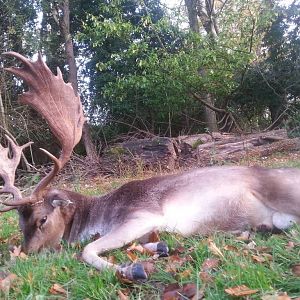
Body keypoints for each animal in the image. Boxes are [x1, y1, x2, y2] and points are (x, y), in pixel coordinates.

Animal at [0, 52, 300, 282]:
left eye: (42, 219)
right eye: (20, 223)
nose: (25, 256)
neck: (98, 215)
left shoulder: (141, 215)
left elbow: (85, 250)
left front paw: (130, 270)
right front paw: (161, 247)